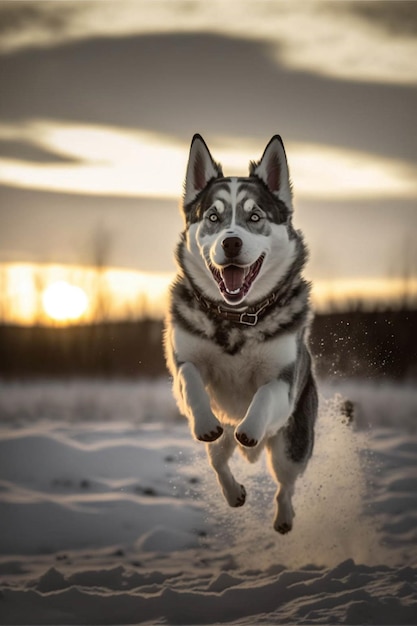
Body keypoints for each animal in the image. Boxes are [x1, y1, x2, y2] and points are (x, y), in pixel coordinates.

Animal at [164, 133, 316, 532]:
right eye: (213, 217)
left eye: (255, 217)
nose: (231, 242)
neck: (235, 319)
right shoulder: (184, 360)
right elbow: (189, 378)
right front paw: (203, 420)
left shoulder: (283, 383)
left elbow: (263, 395)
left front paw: (250, 428)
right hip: (224, 436)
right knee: (218, 456)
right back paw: (233, 491)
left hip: (292, 444)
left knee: (286, 483)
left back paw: (283, 517)